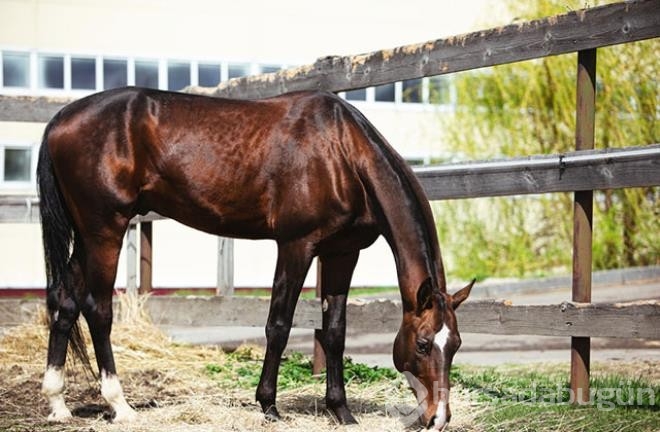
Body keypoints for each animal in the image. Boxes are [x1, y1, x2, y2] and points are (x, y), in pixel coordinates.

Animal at [37, 86, 474, 430]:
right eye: (422, 344)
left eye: (455, 345)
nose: (437, 418)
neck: (342, 153)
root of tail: (59, 119)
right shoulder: (296, 246)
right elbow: (279, 325)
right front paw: (268, 405)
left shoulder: (342, 252)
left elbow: (335, 331)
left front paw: (341, 412)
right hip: (104, 231)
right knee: (98, 309)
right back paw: (120, 405)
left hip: (87, 236)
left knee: (65, 300)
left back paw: (57, 403)